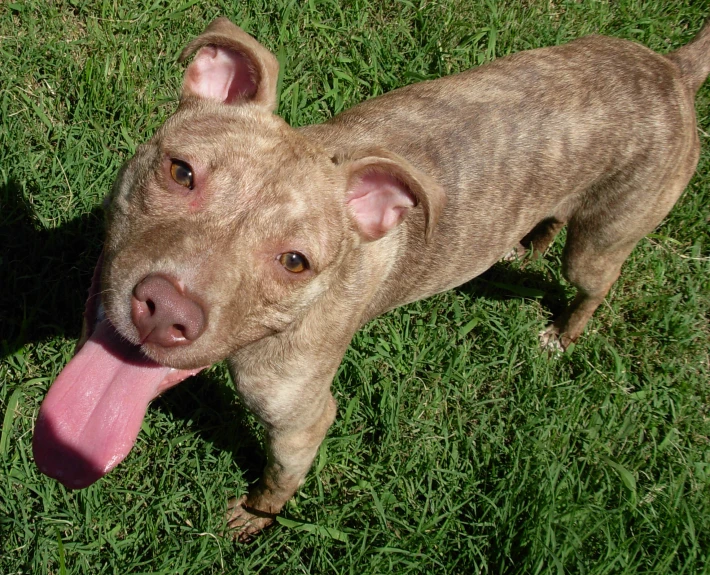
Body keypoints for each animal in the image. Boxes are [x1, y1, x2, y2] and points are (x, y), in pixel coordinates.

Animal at [33, 16, 710, 540]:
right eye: (181, 173)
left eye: (295, 262)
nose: (166, 311)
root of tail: (672, 68)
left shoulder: (301, 418)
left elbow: (279, 478)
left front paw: (255, 517)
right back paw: (528, 241)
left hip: (601, 244)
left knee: (594, 284)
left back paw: (563, 333)